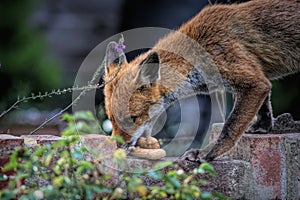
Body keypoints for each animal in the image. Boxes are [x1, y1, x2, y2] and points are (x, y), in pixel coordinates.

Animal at [103, 0, 300, 162]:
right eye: (112, 119)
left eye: (133, 118)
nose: (117, 148)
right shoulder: (255, 79)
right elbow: (264, 106)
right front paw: (263, 126)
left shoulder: (252, 81)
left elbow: (229, 128)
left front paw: (207, 153)